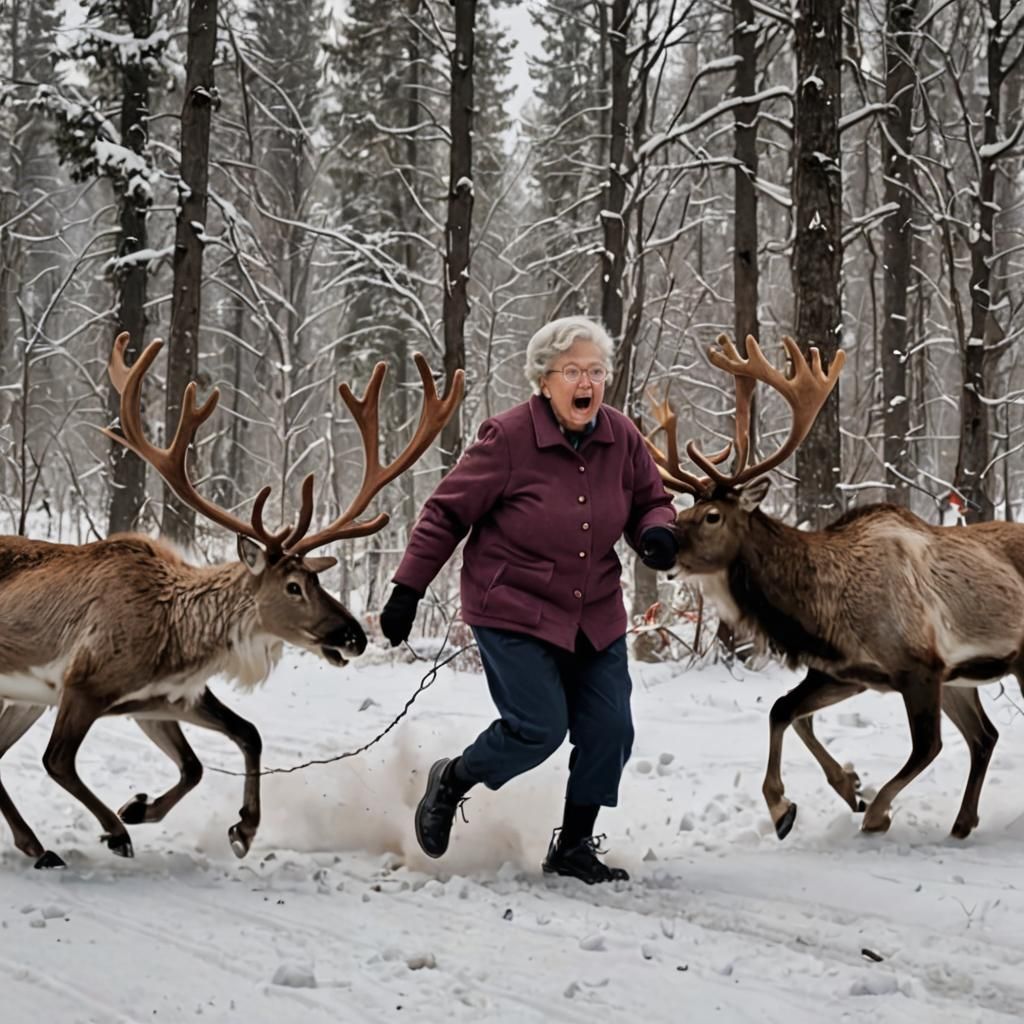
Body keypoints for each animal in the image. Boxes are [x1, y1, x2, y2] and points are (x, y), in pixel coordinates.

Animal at [0, 332, 463, 868]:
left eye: (317, 577)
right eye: (293, 585)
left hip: (24, 697)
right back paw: (47, 844)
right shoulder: (86, 682)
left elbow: (229, 746)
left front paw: (227, 825)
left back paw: (36, 844)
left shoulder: (163, 698)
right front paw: (118, 828)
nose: (355, 636)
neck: (177, 637)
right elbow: (58, 762)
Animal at [647, 333, 1022, 843]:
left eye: (711, 516)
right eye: (682, 510)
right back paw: (963, 822)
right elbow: (785, 711)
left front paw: (875, 811)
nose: (656, 551)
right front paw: (813, 798)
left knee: (966, 739)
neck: (819, 611)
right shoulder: (848, 671)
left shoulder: (918, 666)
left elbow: (925, 748)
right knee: (985, 736)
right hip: (962, 677)